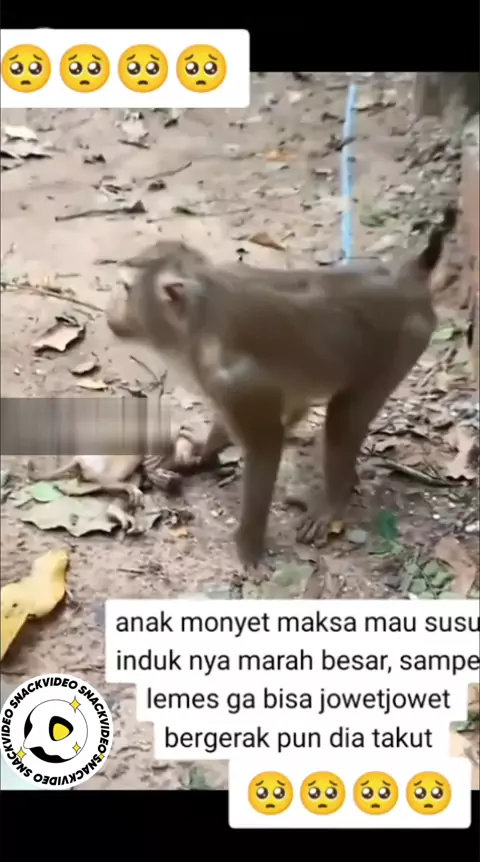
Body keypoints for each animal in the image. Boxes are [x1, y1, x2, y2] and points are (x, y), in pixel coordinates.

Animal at [105, 205, 457, 571]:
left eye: (126, 289)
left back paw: (333, 499)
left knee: (344, 414)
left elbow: (266, 443)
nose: (110, 307)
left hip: (403, 344)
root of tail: (409, 278)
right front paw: (196, 456)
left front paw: (248, 543)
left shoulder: (232, 377)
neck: (200, 319)